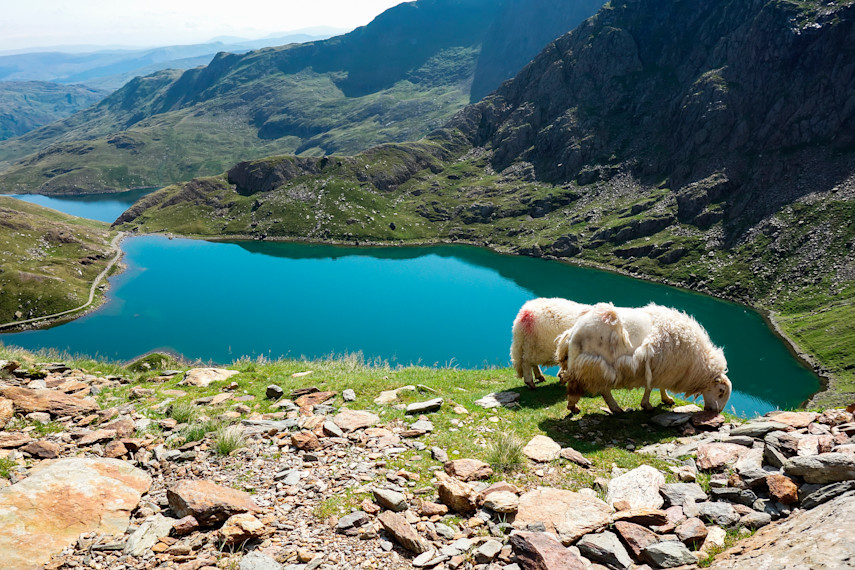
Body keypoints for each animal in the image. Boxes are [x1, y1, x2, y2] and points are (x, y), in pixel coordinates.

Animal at [560, 302, 732, 412]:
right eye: (721, 391)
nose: (716, 411)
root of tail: (575, 332)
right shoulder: (661, 368)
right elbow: (650, 387)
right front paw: (647, 405)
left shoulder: (664, 368)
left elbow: (659, 386)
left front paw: (666, 399)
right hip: (597, 365)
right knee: (601, 389)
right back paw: (607, 407)